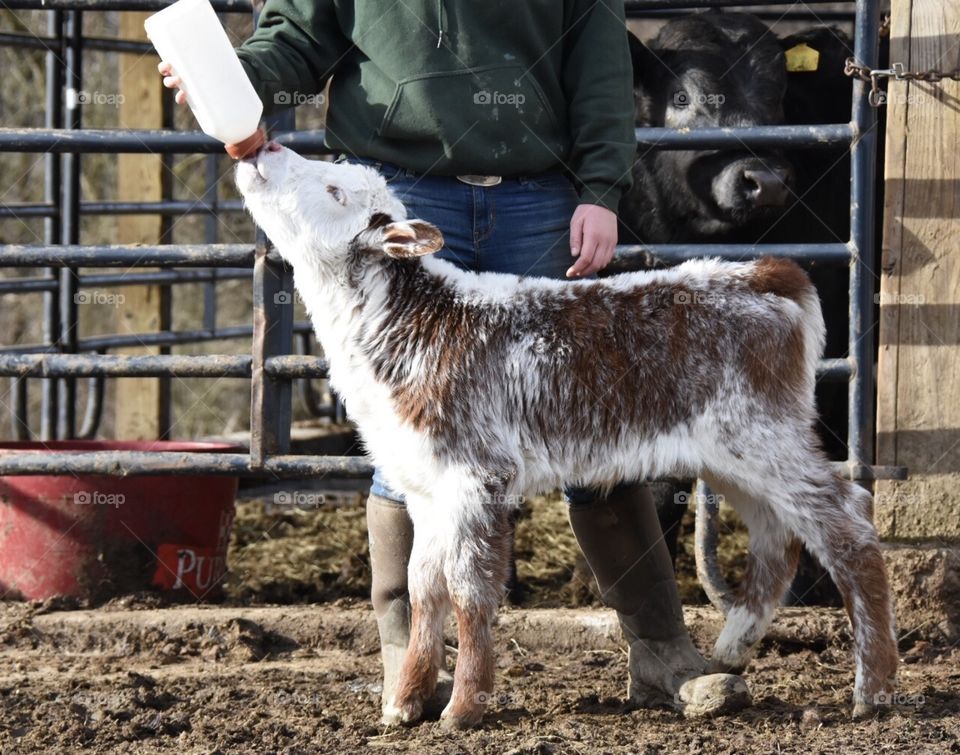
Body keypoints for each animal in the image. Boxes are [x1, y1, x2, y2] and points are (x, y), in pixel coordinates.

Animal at [236, 145, 896, 728]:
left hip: (764, 435)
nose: (262, 151)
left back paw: (874, 688)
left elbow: (470, 589)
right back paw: (731, 650)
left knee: (849, 528)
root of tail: (765, 272)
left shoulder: (477, 473)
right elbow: (425, 588)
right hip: (735, 454)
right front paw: (404, 702)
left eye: (333, 190)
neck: (410, 320)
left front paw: (463, 707)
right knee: (776, 538)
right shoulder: (424, 483)